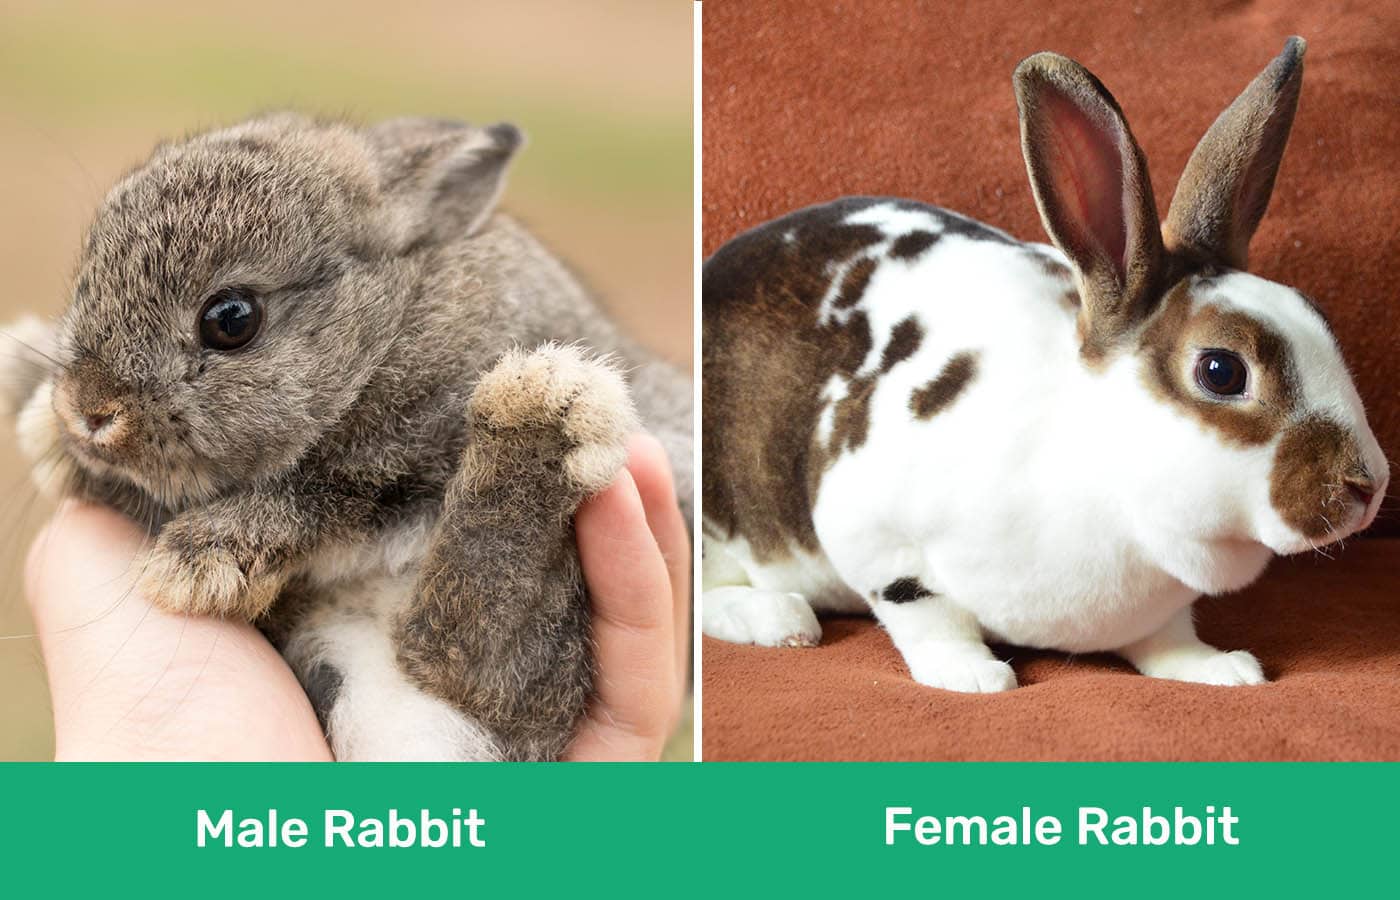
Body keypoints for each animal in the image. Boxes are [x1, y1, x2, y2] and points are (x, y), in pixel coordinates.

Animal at [0, 112, 693, 760]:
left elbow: (319, 494)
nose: (87, 410)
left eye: (231, 319)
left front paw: (197, 560)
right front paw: (34, 399)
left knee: (469, 657)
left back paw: (543, 410)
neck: (388, 318)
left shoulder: (399, 452)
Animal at [701, 37, 1389, 693]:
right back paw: (782, 620)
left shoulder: (1160, 614)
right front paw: (973, 675)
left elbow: (1169, 640)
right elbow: (927, 614)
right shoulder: (872, 530)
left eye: (1317, 316)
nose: (1369, 485)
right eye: (1222, 371)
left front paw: (1220, 669)